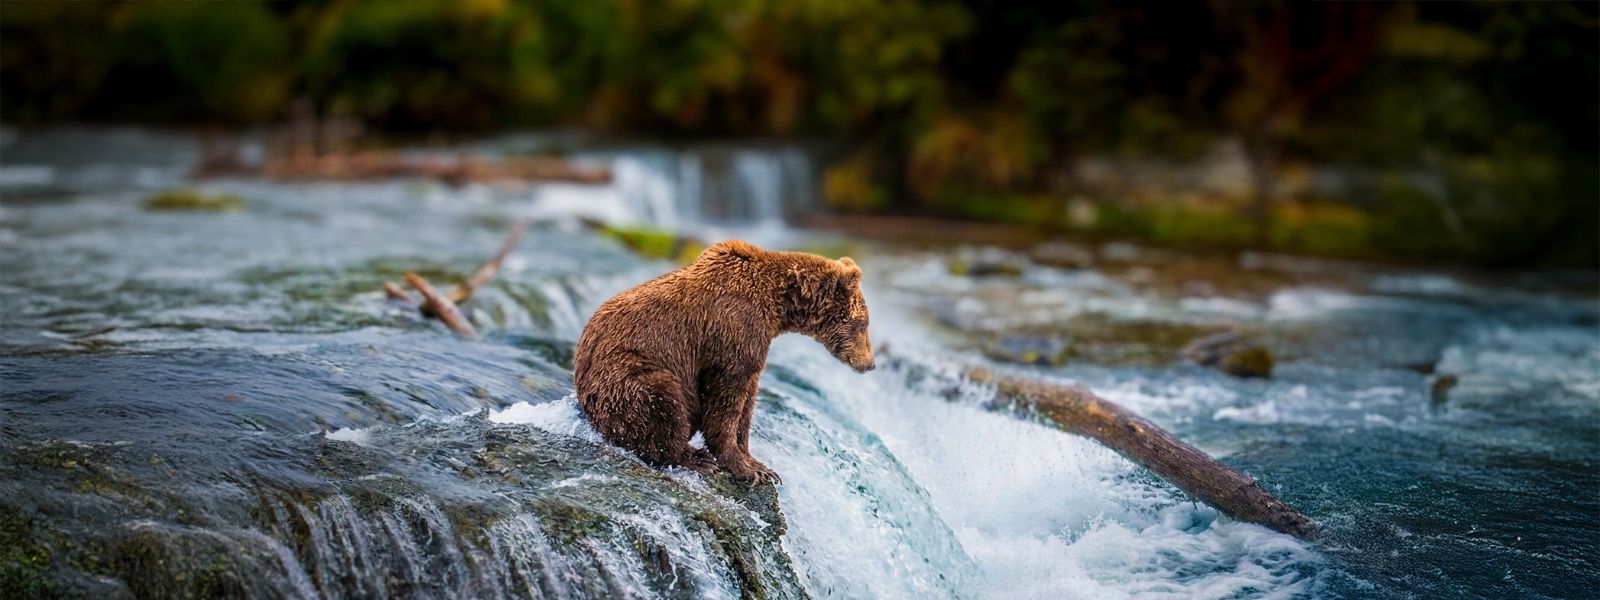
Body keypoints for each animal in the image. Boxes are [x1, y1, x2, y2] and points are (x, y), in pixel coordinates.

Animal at [573, 240, 874, 483]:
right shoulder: (731, 332)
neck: (778, 307)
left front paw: (759, 464)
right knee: (661, 399)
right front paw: (745, 468)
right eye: (863, 324)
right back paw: (694, 458)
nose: (870, 364)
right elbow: (725, 400)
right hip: (624, 375)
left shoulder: (754, 345)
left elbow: (747, 403)